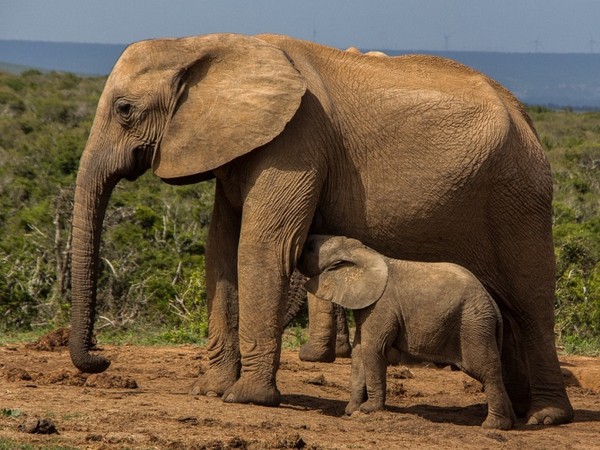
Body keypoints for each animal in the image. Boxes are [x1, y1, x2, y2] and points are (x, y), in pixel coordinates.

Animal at [298, 236, 512, 428]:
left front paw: (368, 409)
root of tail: (493, 306)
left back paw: (493, 426)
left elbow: (372, 349)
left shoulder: (382, 305)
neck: (362, 251)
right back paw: (510, 421)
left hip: (473, 325)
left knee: (486, 369)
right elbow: (359, 351)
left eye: (309, 247)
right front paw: (352, 411)